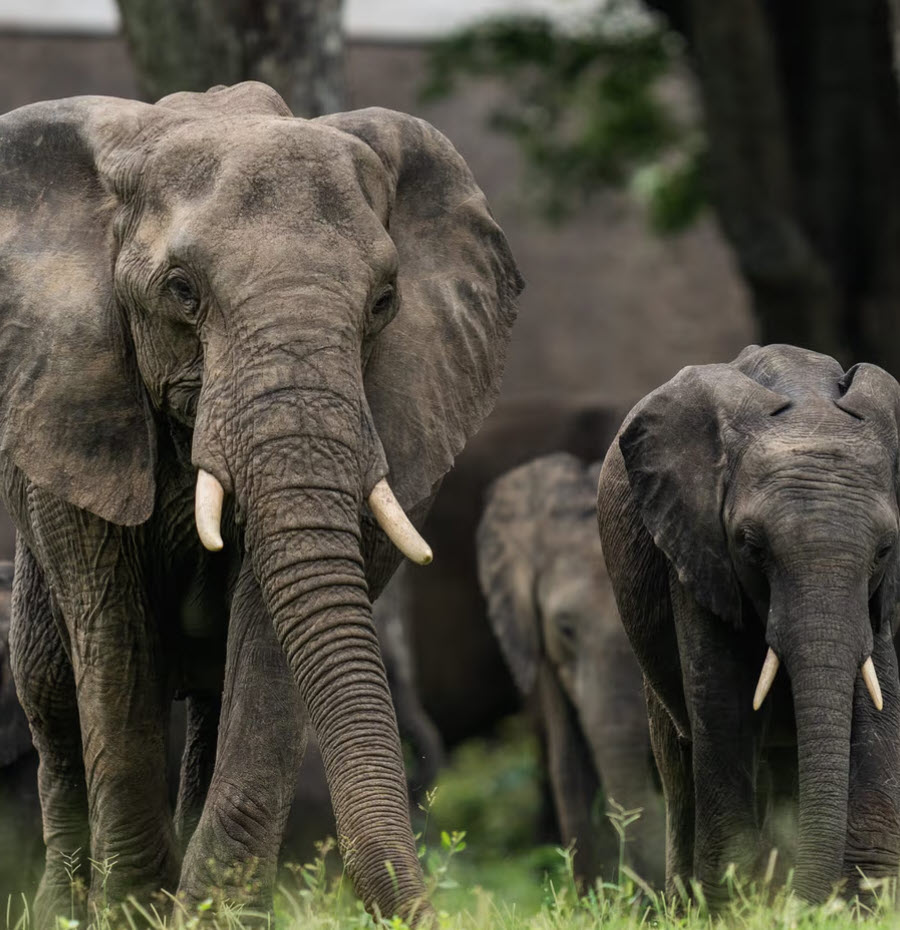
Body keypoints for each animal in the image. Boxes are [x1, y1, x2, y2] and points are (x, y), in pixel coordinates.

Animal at [0, 80, 521, 926]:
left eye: (384, 302)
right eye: (182, 292)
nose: (425, 905)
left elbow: (271, 638)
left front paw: (207, 914)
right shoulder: (76, 400)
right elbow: (115, 637)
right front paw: (135, 911)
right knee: (50, 693)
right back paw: (63, 907)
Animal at [597, 343, 900, 905]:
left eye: (884, 550)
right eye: (752, 547)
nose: (803, 908)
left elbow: (877, 703)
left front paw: (866, 902)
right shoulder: (695, 546)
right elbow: (724, 705)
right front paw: (735, 904)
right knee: (680, 756)